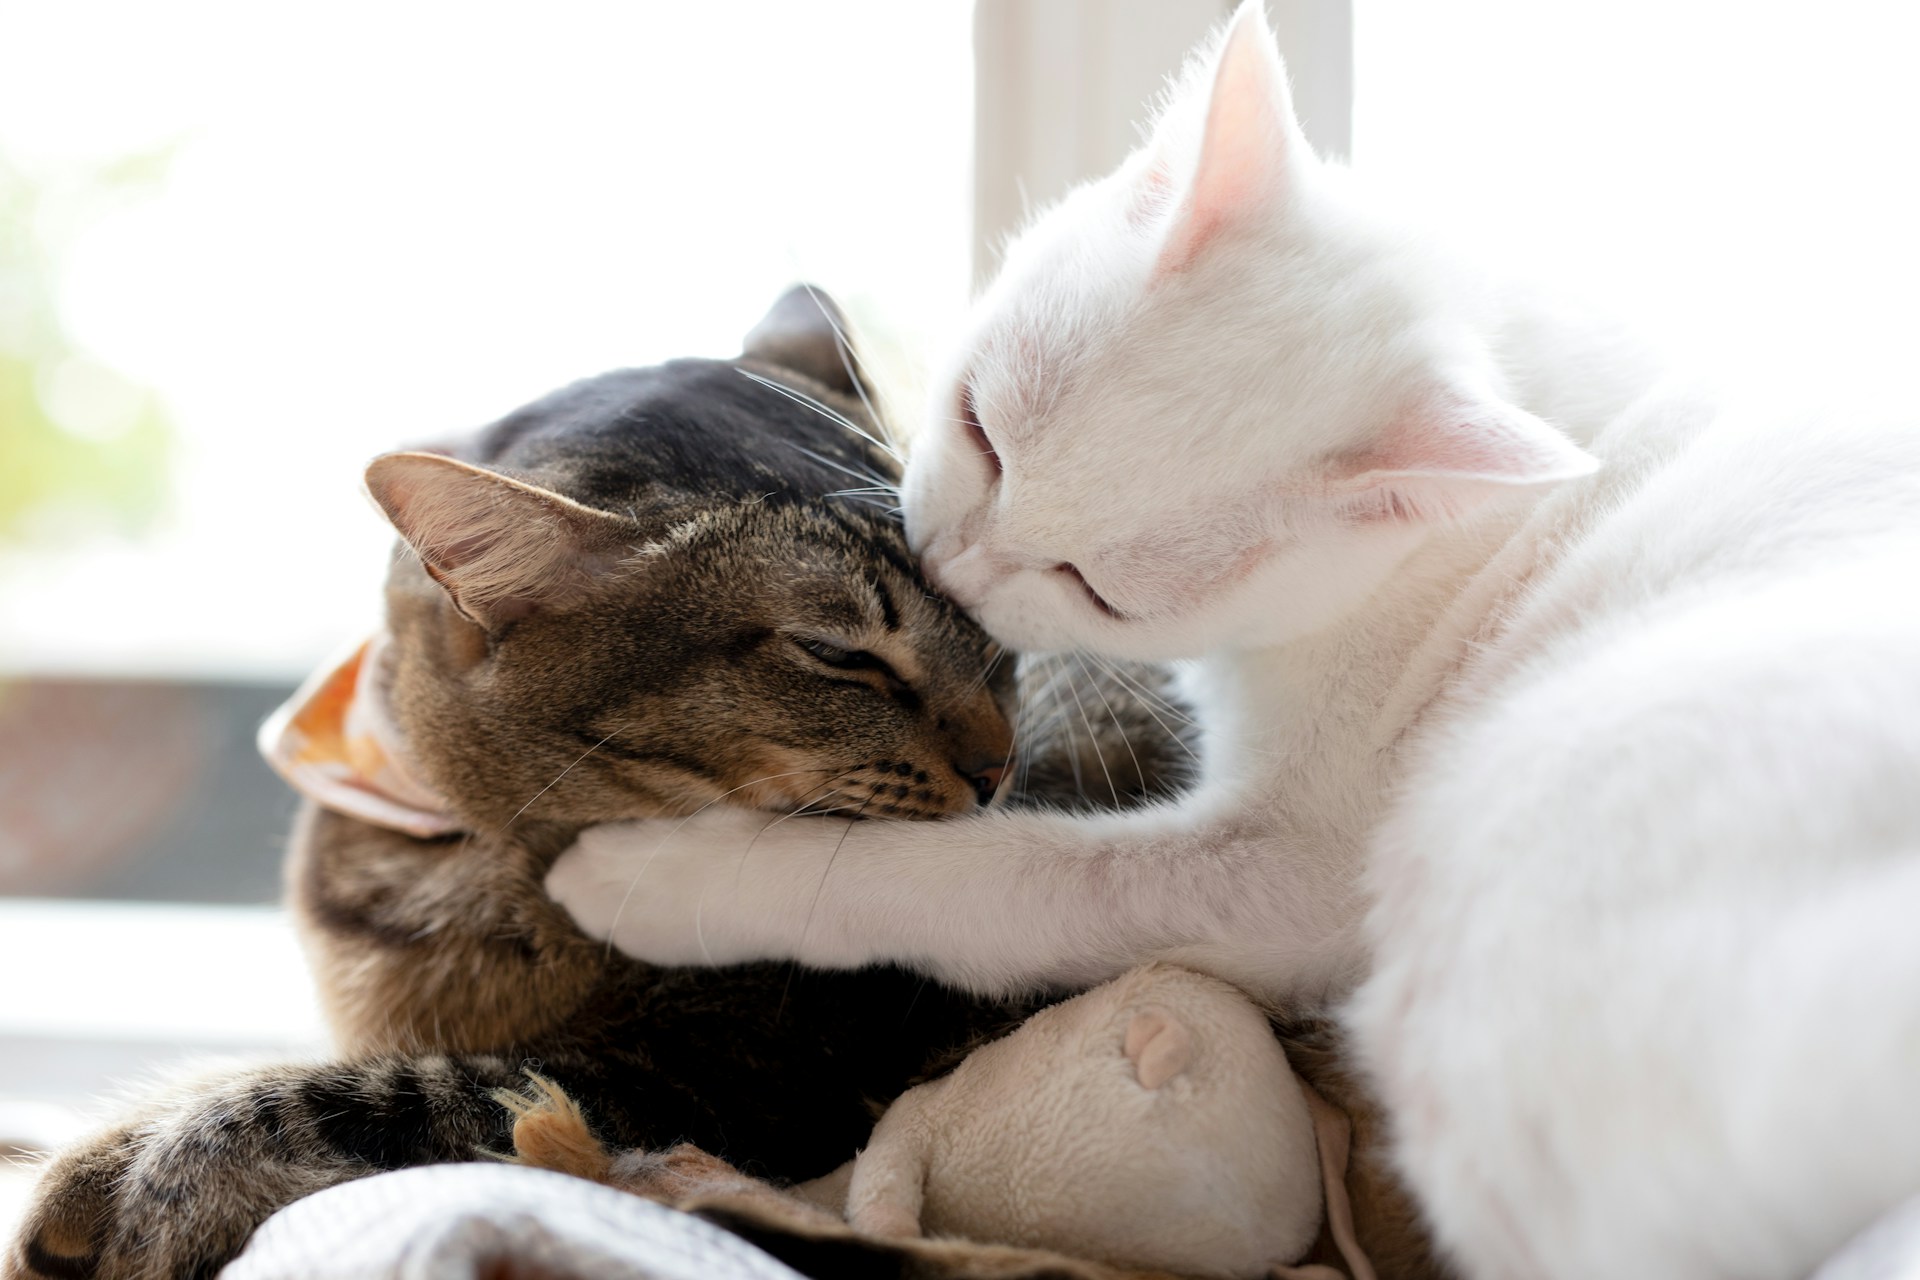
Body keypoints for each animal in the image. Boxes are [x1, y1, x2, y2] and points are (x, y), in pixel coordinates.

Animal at [7, 289, 1182, 1280]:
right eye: (835, 653)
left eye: (976, 615)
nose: (998, 767)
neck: (472, 844)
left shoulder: (735, 1072)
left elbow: (385, 1087)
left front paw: (116, 1182)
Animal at [545, 10, 1920, 1280]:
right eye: (982, 426)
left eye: (1097, 588)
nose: (952, 562)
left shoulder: (1287, 871)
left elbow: (989, 873)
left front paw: (667, 873)